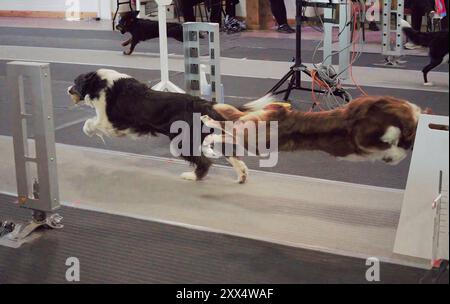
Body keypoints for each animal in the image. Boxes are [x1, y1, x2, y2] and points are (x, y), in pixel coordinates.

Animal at [202, 95, 424, 165]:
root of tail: (277, 109)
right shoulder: (362, 136)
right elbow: (394, 141)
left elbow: (399, 149)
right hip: (253, 136)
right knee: (227, 126)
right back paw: (208, 123)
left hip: (253, 142)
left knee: (226, 131)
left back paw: (208, 131)